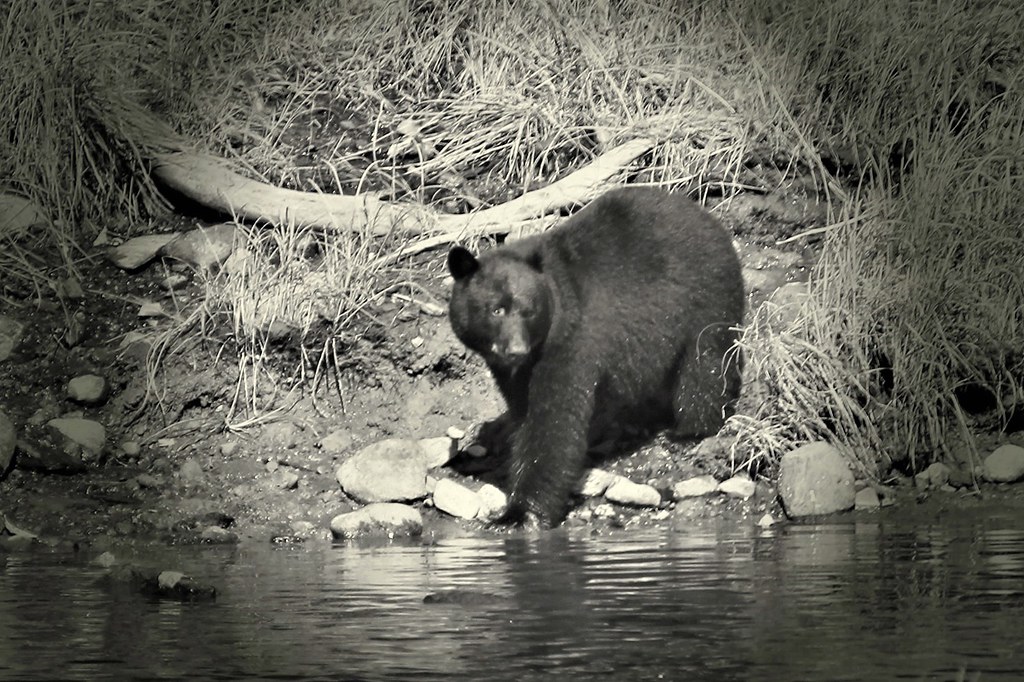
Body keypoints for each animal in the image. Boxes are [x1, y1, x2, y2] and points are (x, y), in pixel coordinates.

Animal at [447, 186, 744, 526]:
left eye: (529, 310)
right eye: (496, 310)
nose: (516, 349)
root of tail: (710, 219)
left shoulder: (569, 342)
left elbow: (554, 422)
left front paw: (522, 512)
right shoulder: (518, 370)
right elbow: (524, 410)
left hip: (706, 296)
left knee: (704, 366)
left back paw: (686, 431)